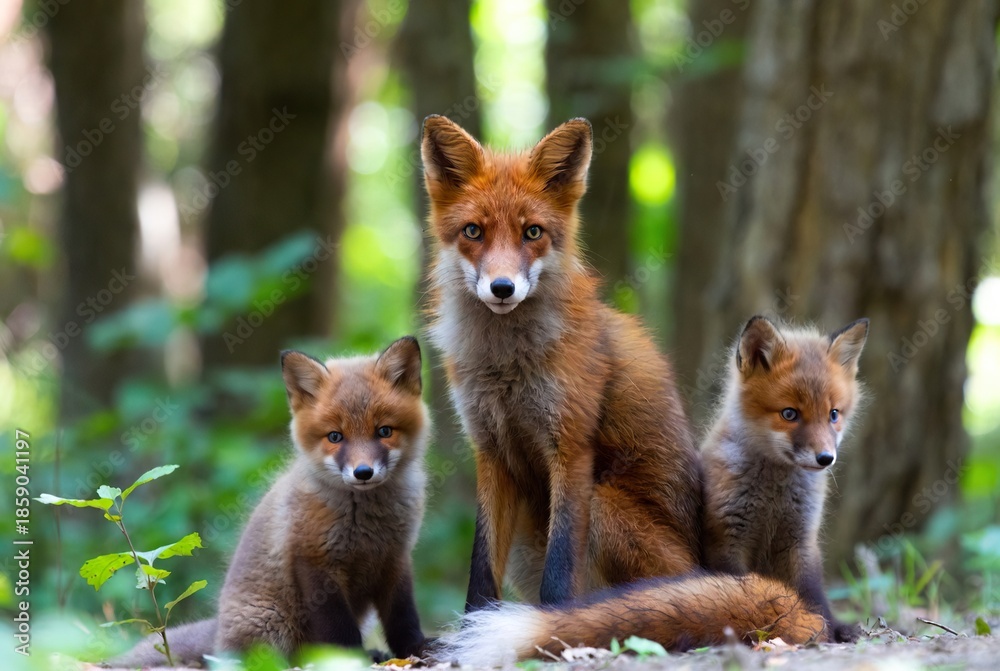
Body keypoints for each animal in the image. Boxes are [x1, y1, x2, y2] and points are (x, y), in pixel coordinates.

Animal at [112, 337, 430, 667]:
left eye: (384, 431)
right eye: (335, 437)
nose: (363, 472)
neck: (367, 523)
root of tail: (218, 634)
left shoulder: (396, 557)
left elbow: (403, 618)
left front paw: (416, 649)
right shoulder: (315, 563)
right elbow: (339, 630)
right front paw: (349, 660)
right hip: (273, 625)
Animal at [701, 315, 869, 643]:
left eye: (833, 414)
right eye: (790, 414)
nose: (825, 458)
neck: (773, 495)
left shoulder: (800, 539)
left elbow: (813, 594)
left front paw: (830, 627)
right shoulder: (727, 537)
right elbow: (742, 591)